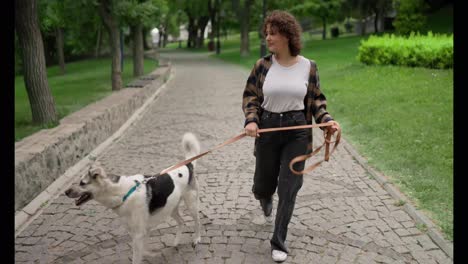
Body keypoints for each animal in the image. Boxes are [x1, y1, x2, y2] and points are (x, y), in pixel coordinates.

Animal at [64, 133, 201, 262]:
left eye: (82, 183)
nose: (65, 192)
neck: (122, 192)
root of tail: (188, 165)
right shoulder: (140, 232)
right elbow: (143, 250)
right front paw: (152, 253)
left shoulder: (138, 234)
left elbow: (137, 256)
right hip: (170, 207)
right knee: (181, 222)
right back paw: (176, 242)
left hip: (191, 203)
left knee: (197, 222)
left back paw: (196, 239)